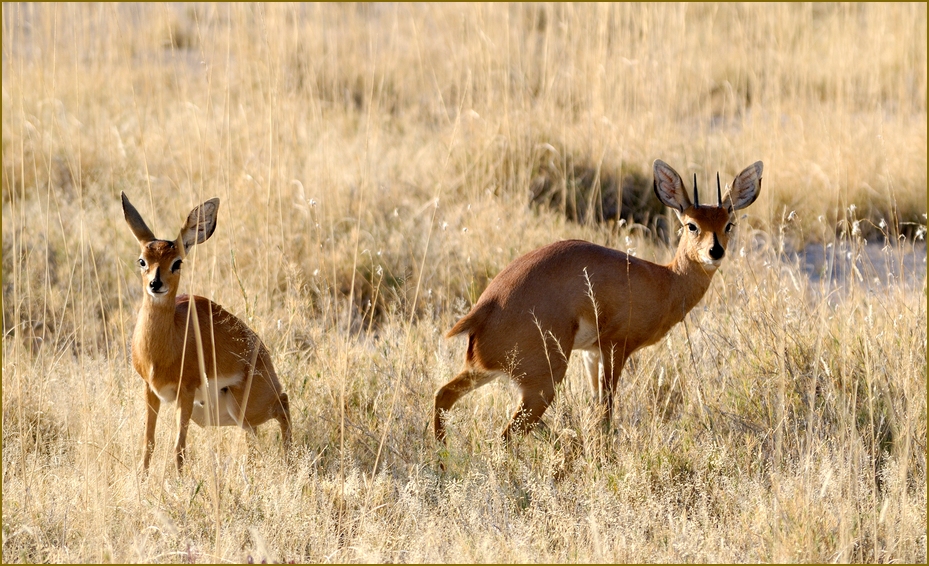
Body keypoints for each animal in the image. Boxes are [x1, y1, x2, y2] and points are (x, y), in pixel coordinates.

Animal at [123, 193, 290, 472]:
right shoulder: (149, 389)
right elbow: (149, 443)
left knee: (284, 403)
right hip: (221, 414)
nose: (156, 284)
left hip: (245, 407)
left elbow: (179, 448)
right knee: (253, 434)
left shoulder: (186, 391)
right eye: (142, 260)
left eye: (177, 262)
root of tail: (263, 355)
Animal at [436, 159, 760, 444]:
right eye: (692, 224)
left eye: (729, 224)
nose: (715, 252)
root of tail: (486, 308)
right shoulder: (616, 348)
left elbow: (596, 411)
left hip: (485, 371)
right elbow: (606, 413)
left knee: (443, 395)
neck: (665, 280)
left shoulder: (591, 354)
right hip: (541, 385)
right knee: (504, 438)